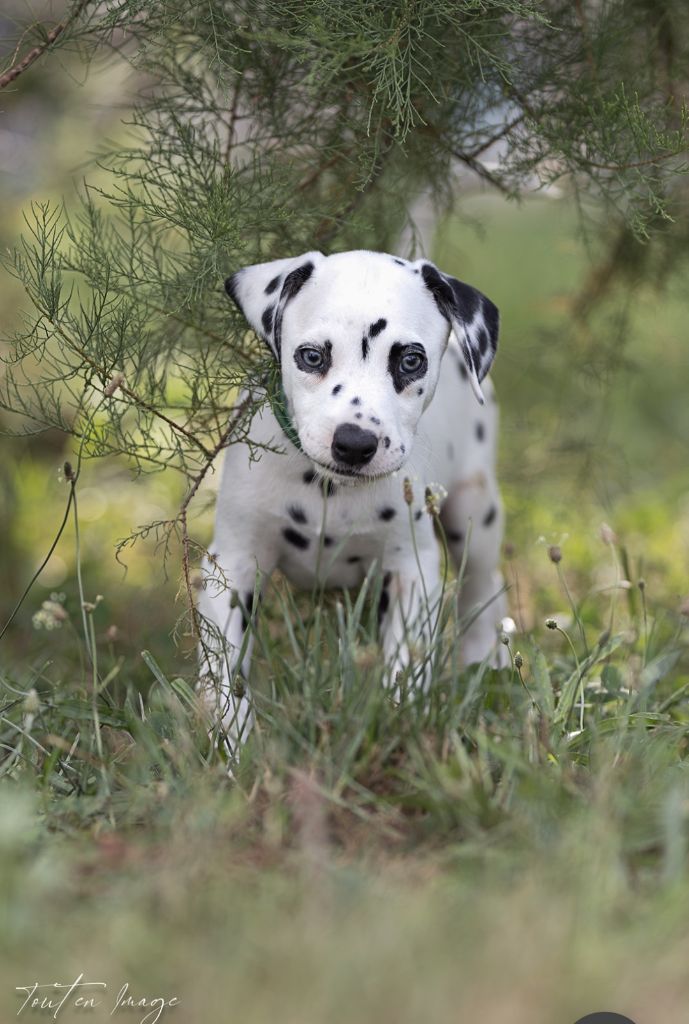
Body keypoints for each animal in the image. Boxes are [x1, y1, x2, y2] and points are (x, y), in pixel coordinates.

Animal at [197, 247, 505, 745]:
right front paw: (233, 745)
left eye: (411, 361)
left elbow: (403, 667)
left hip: (474, 515)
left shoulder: (411, 572)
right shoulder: (232, 566)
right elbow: (226, 674)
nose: (355, 443)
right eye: (311, 356)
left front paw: (399, 727)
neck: (327, 490)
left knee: (482, 587)